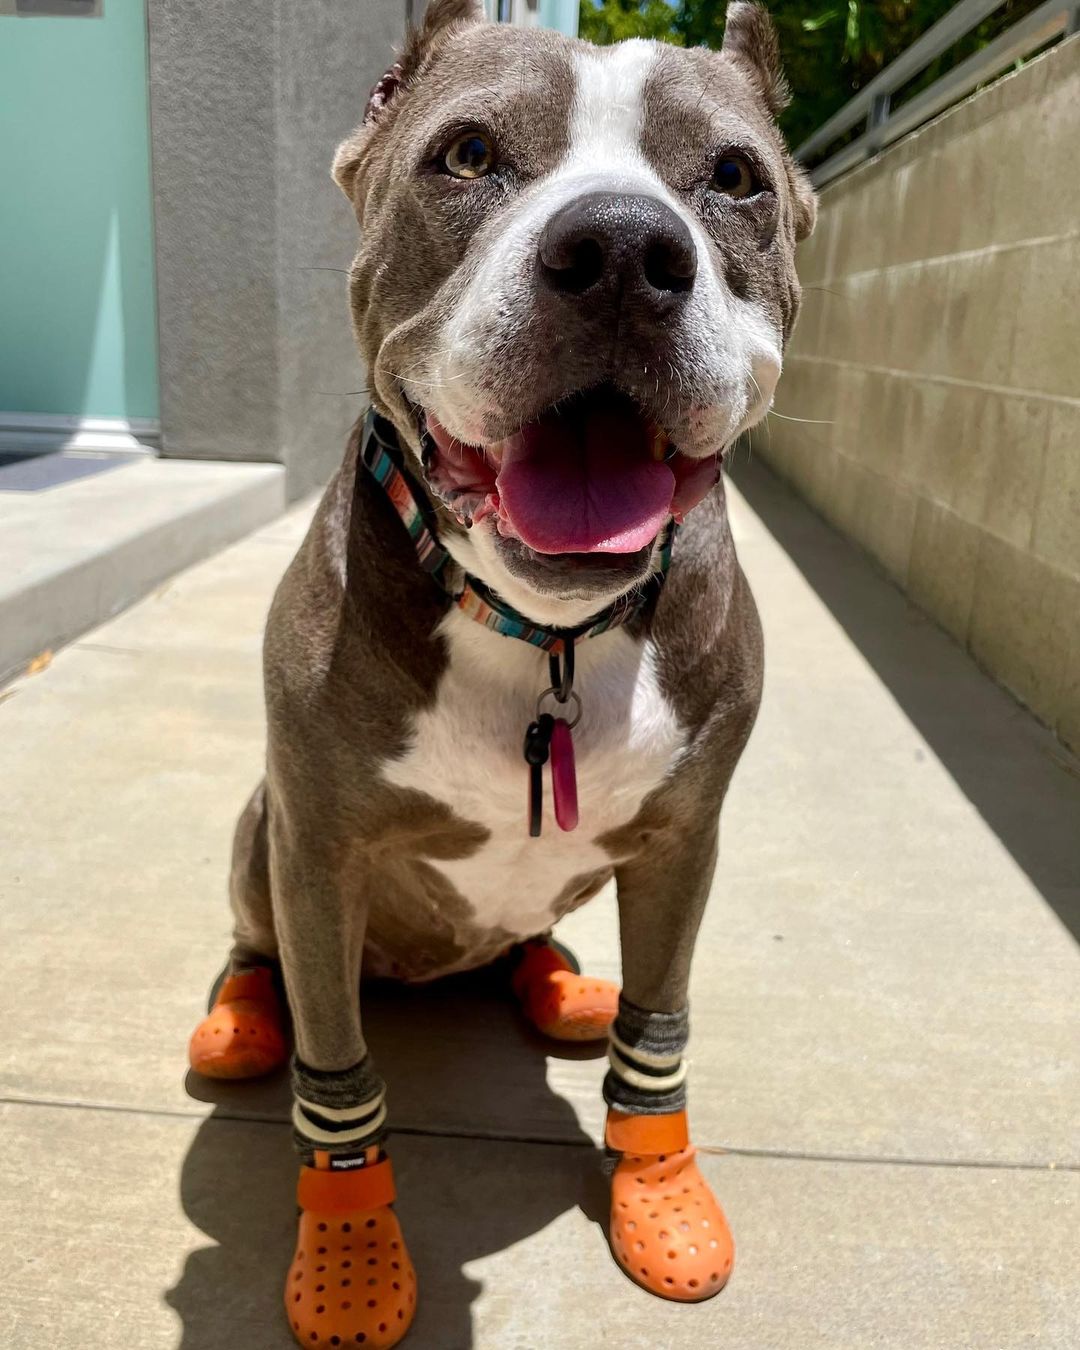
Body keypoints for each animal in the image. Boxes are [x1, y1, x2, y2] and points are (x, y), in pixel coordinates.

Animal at [190, 2, 815, 1339]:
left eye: (733, 176)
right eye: (469, 156)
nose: (625, 251)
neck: (547, 637)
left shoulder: (685, 842)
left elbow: (661, 1026)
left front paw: (658, 1193)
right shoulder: (318, 847)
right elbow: (337, 1074)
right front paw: (352, 1255)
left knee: (535, 937)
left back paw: (557, 984)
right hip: (261, 828)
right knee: (260, 951)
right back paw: (240, 1021)